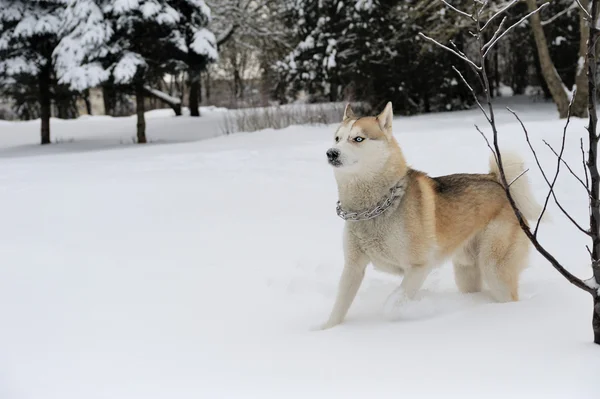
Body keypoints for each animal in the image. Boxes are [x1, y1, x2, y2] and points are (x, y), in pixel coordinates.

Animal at [322, 101, 540, 330]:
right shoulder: (353, 267)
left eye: (358, 139)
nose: (331, 153)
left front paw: (397, 314)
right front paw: (326, 330)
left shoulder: (419, 267)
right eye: (337, 138)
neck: (371, 209)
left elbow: (398, 299)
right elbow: (339, 308)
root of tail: (498, 182)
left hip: (494, 269)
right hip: (466, 272)